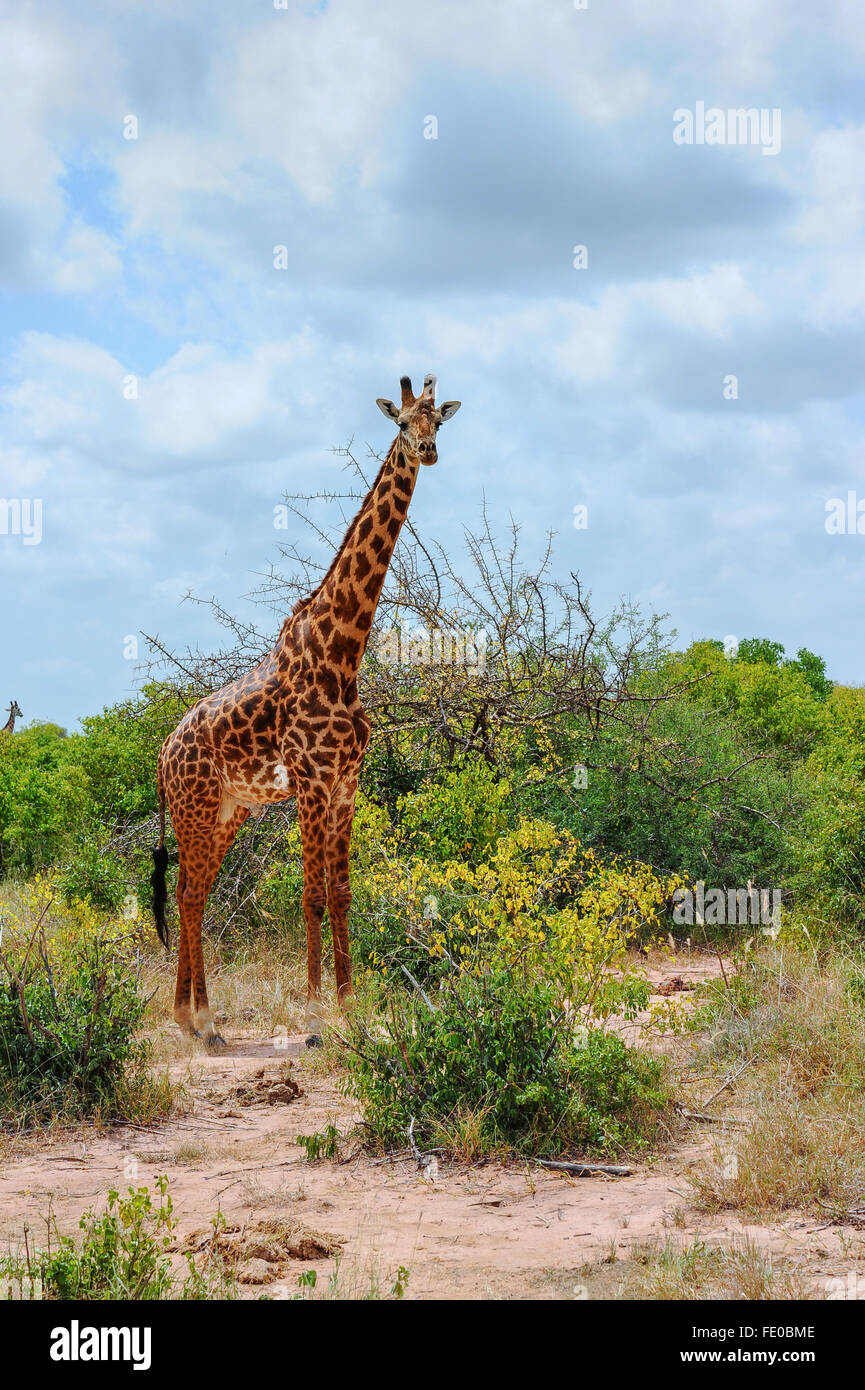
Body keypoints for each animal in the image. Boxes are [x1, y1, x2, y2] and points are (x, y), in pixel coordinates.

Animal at [151, 374, 461, 1047]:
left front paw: (351, 1006)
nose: (427, 451)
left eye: (439, 422)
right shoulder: (312, 782)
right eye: (401, 423)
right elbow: (311, 895)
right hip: (195, 808)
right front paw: (318, 1015)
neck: (342, 653)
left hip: (230, 810)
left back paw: (189, 1017)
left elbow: (342, 893)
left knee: (196, 892)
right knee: (188, 893)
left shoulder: (346, 782)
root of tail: (162, 754)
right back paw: (203, 1020)